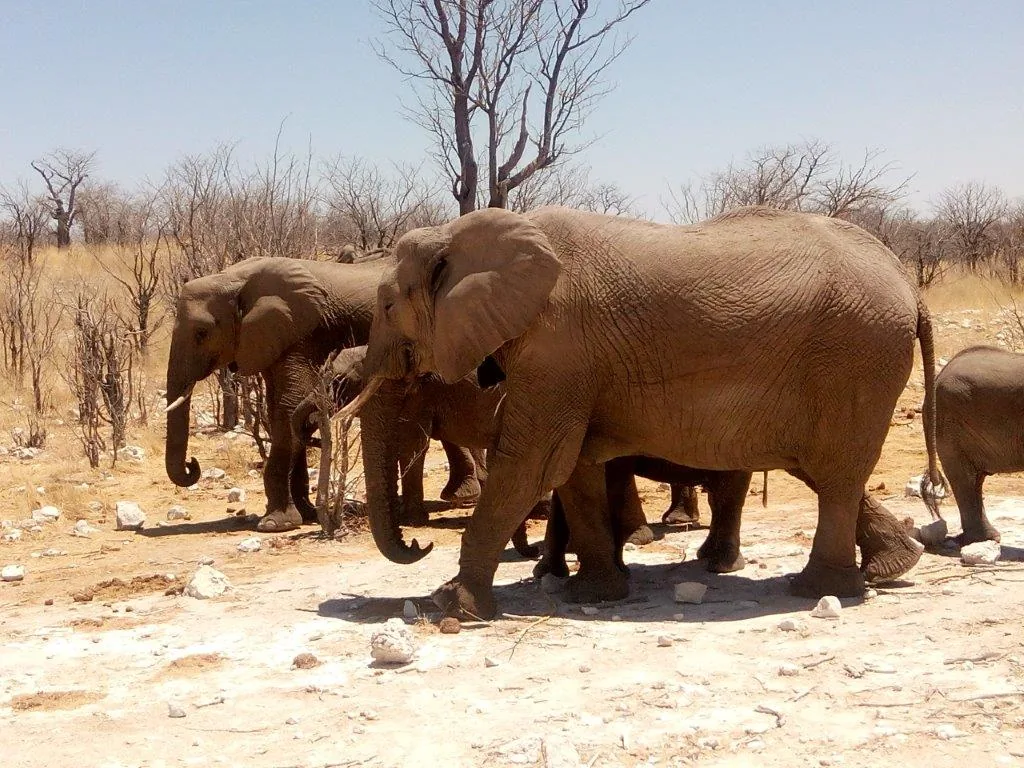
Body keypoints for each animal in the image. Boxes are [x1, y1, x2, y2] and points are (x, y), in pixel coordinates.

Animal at [164, 256, 483, 533]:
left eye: (202, 333)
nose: (192, 465)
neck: (233, 278)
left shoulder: (299, 333)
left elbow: (288, 406)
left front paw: (275, 525)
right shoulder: (271, 341)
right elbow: (279, 408)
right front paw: (304, 515)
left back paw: (461, 498)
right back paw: (462, 496)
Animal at [341, 205, 944, 619]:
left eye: (388, 305)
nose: (417, 545)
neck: (463, 231)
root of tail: (911, 288)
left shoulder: (557, 349)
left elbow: (532, 463)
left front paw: (452, 606)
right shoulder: (571, 365)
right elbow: (576, 467)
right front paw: (597, 593)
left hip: (856, 357)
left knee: (835, 473)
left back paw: (818, 590)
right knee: (826, 470)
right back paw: (889, 569)